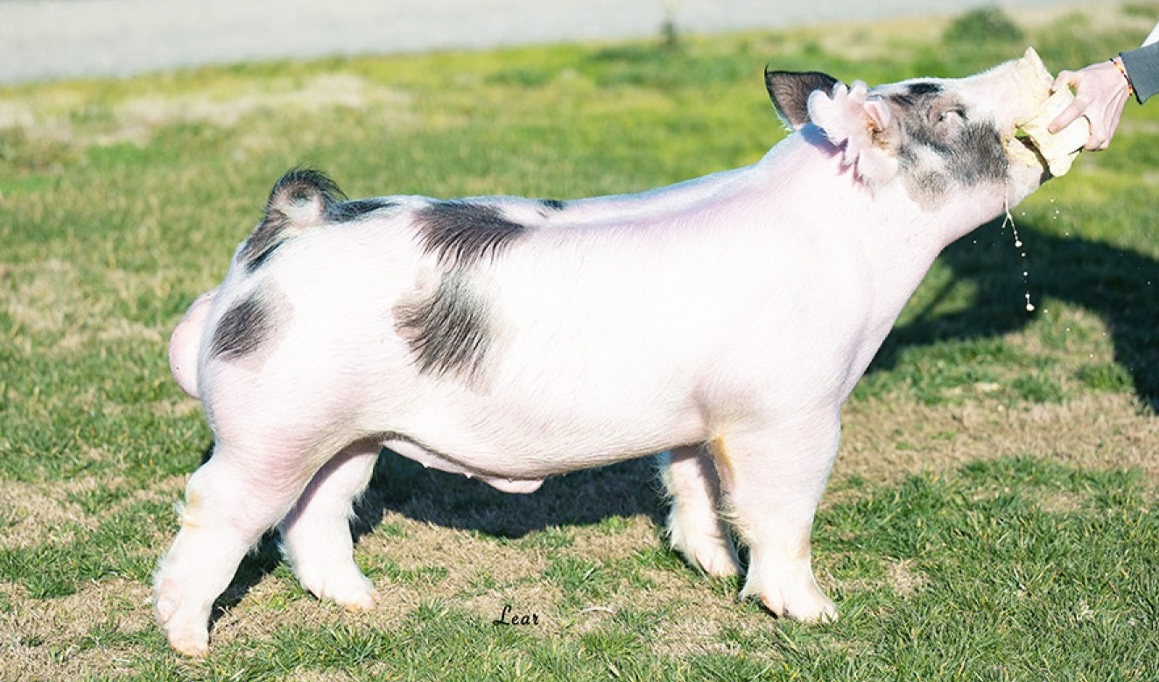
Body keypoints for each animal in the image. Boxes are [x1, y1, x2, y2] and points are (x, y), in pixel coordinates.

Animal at [155, 48, 1062, 656]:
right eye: (945, 115)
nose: (1034, 67)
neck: (855, 244)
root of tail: (287, 229)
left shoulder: (700, 417)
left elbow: (691, 484)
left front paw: (707, 568)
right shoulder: (790, 412)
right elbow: (781, 514)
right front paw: (814, 613)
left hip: (347, 429)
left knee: (315, 513)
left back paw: (360, 604)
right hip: (272, 423)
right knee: (217, 506)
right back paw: (190, 641)